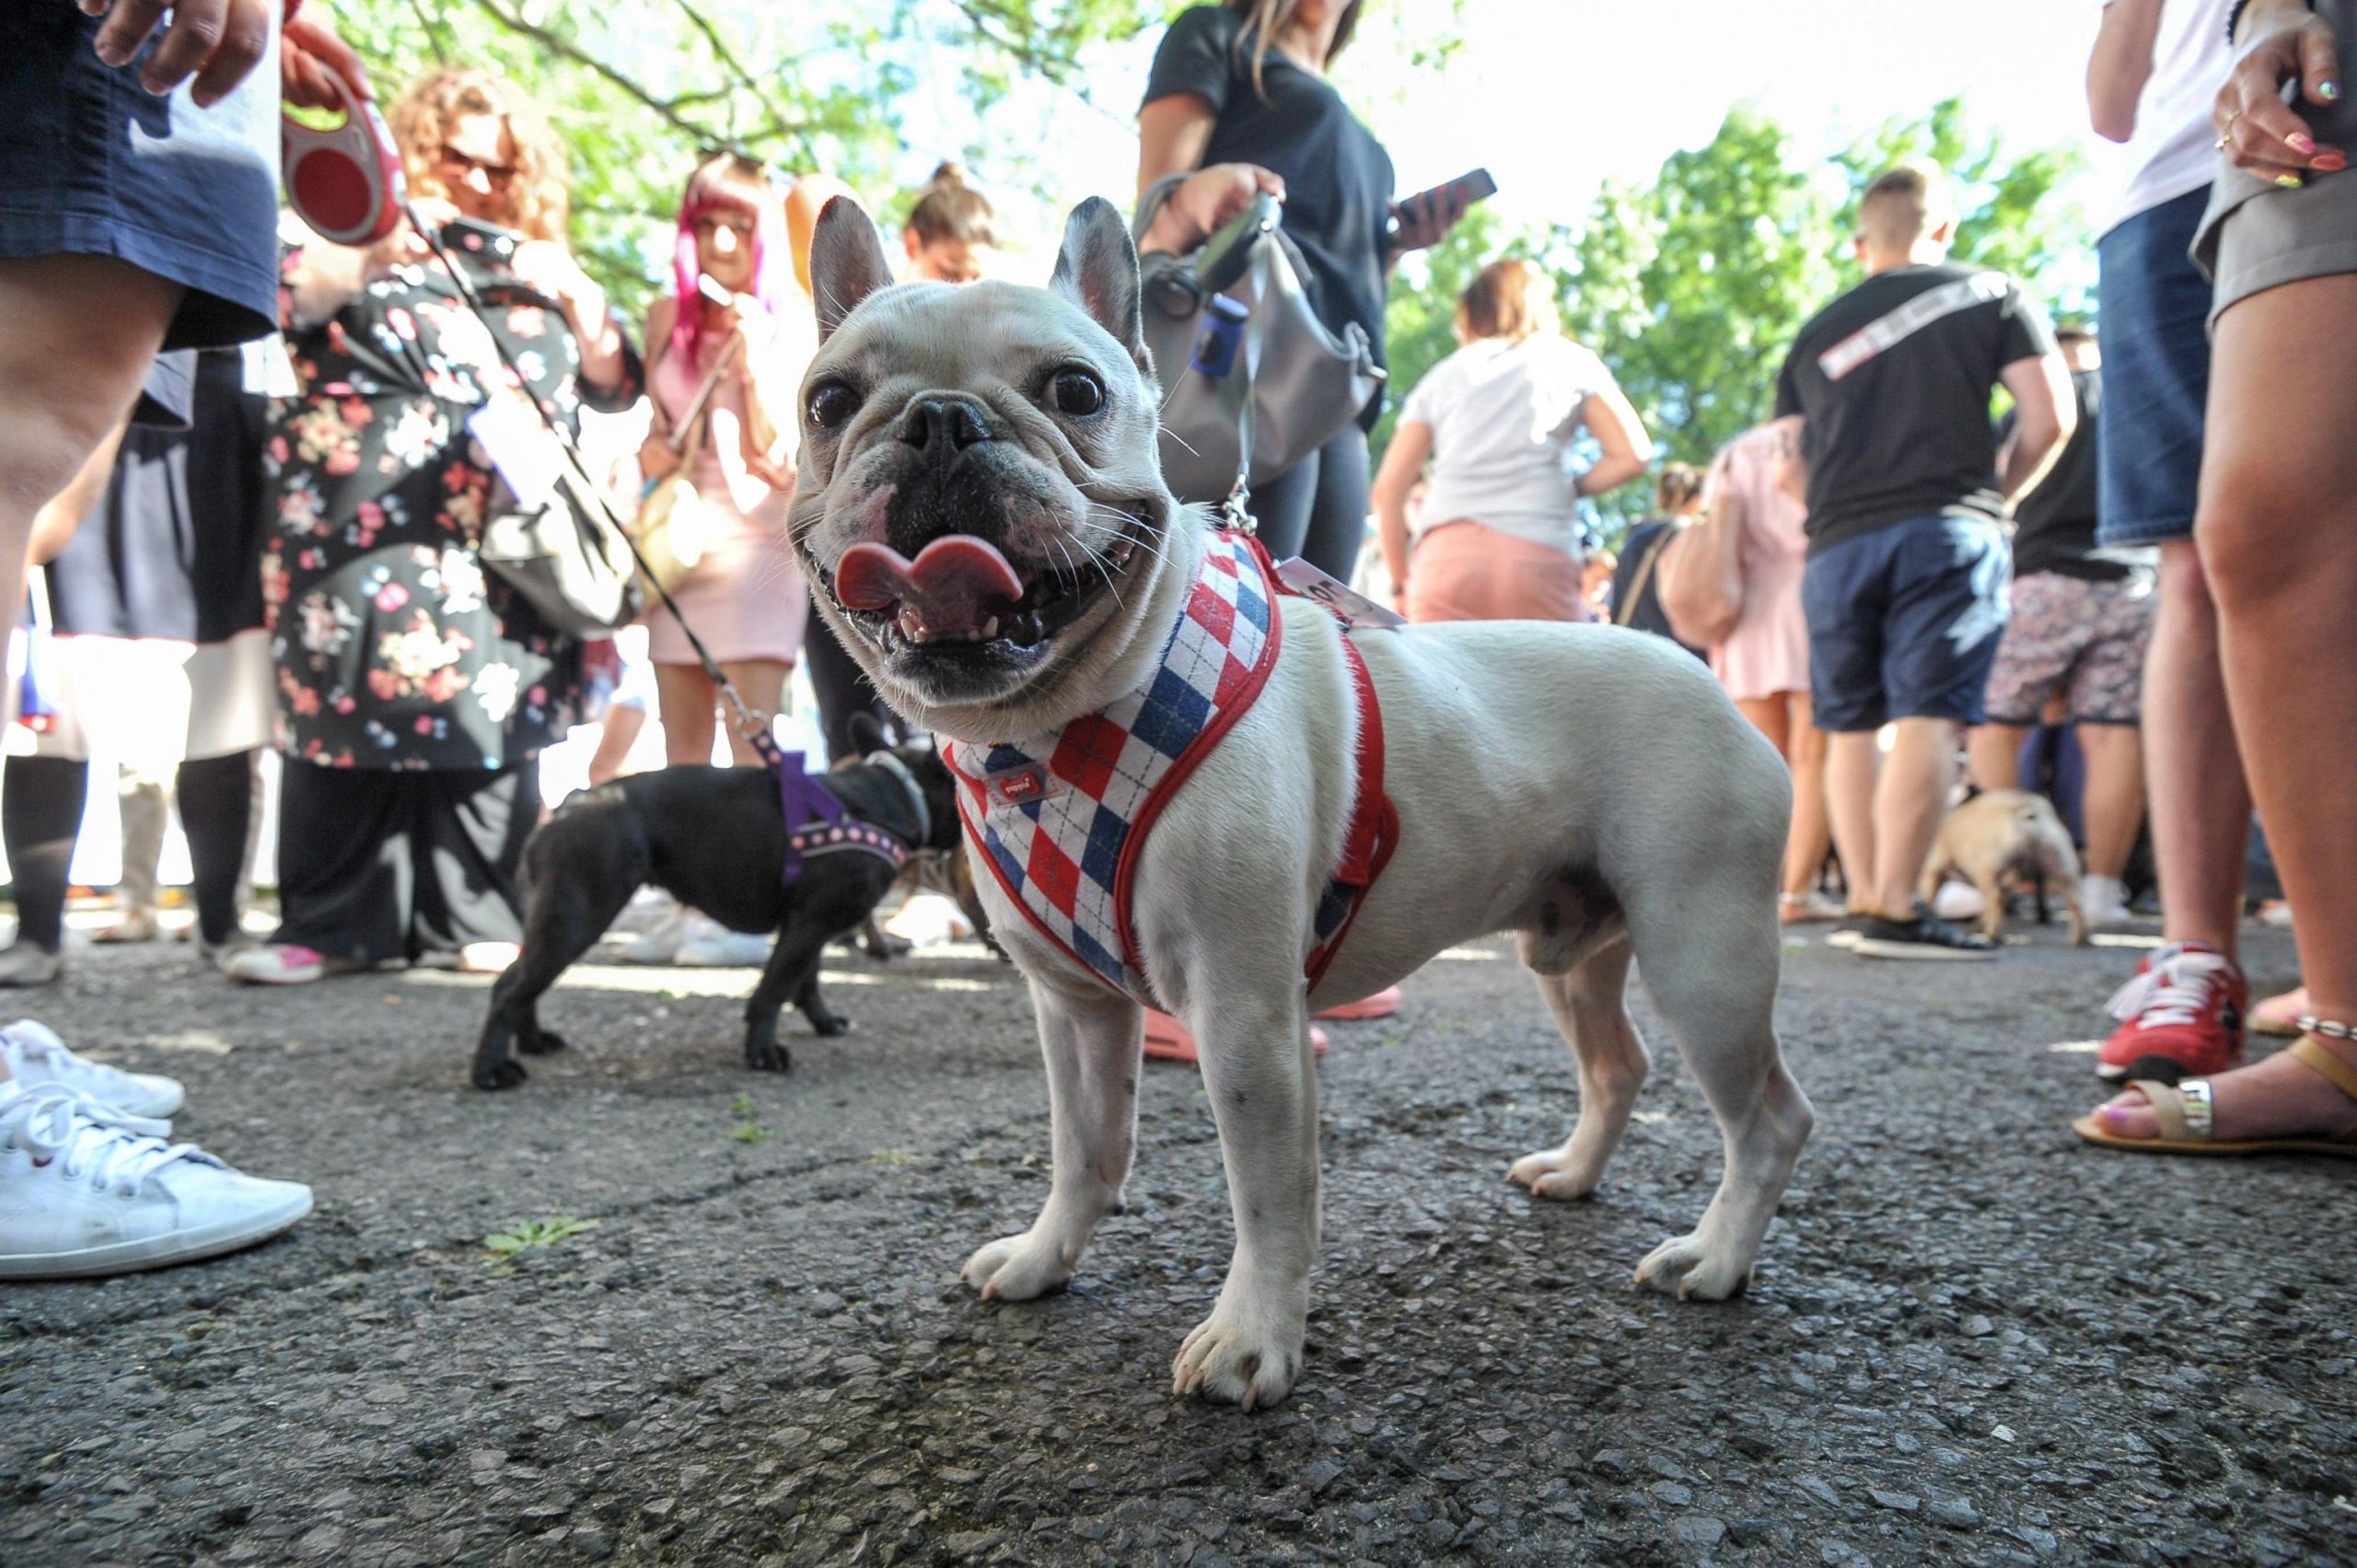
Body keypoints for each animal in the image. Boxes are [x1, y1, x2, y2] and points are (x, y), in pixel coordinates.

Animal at [1922, 783, 2093, 943]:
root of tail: (2029, 813)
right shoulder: (2008, 883)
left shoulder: (1933, 871)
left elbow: (1929, 896)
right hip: (2062, 868)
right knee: (2076, 904)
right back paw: (2079, 939)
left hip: (1987, 871)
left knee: (1994, 899)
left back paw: (1992, 935)